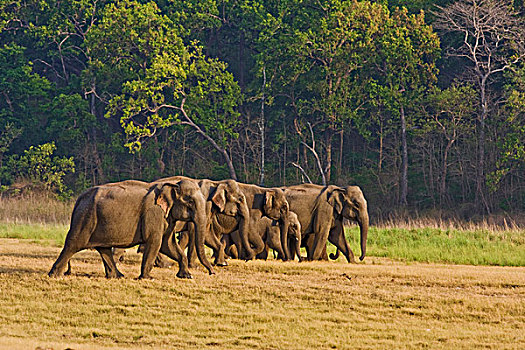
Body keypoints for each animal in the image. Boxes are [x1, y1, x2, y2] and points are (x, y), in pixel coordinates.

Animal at [48, 179, 213, 280]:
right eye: (190, 202)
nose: (212, 272)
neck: (172, 185)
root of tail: (79, 199)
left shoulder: (167, 217)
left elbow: (168, 244)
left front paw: (186, 276)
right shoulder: (154, 213)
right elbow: (155, 242)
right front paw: (147, 278)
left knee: (103, 248)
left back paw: (117, 276)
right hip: (85, 218)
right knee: (73, 244)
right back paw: (54, 275)